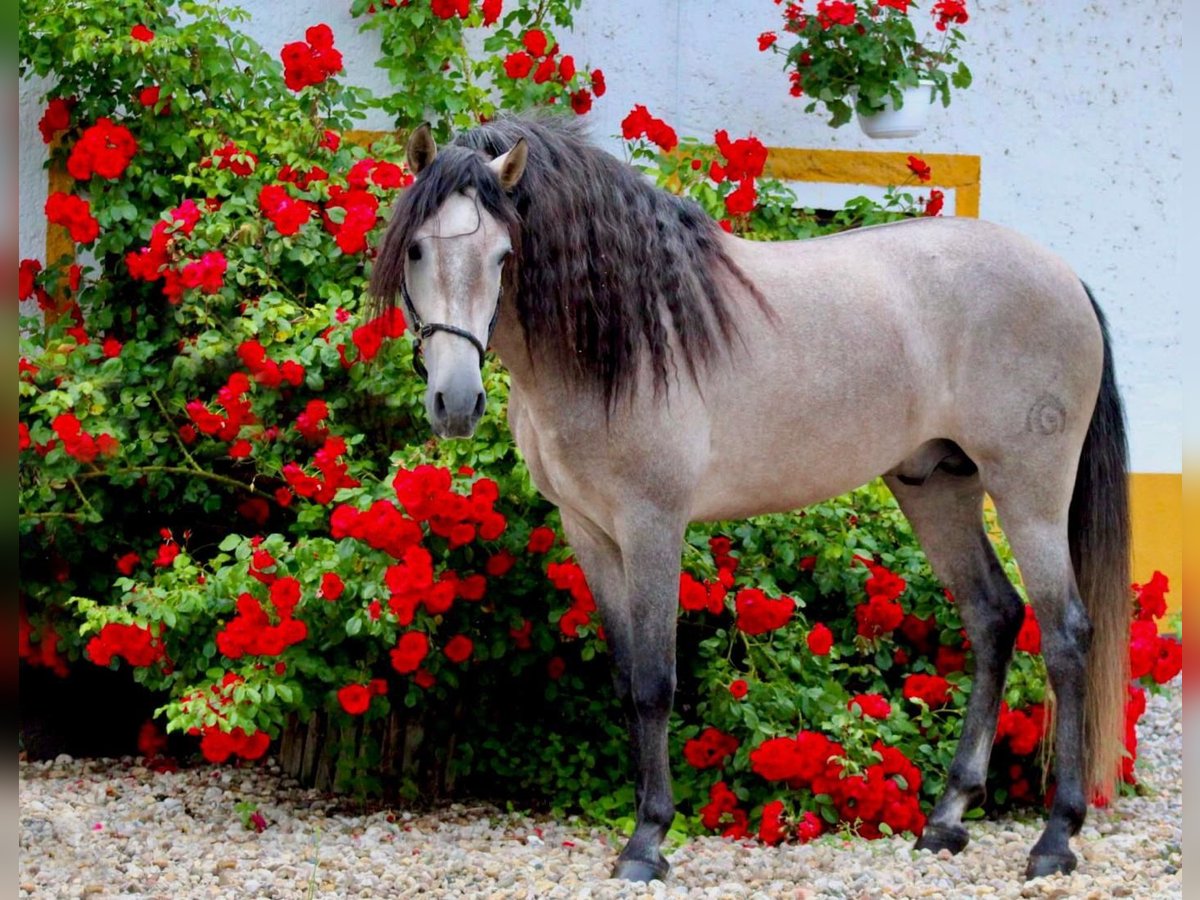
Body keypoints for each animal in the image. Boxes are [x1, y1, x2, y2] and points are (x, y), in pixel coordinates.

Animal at [369, 116, 1128, 883]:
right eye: (416, 247)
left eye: (503, 254)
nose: (455, 402)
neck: (626, 339)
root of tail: (1064, 275)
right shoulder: (588, 529)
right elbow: (625, 679)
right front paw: (641, 830)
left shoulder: (651, 525)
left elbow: (655, 681)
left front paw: (647, 842)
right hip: (938, 488)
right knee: (994, 618)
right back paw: (945, 821)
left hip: (1029, 492)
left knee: (1064, 634)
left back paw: (1055, 837)